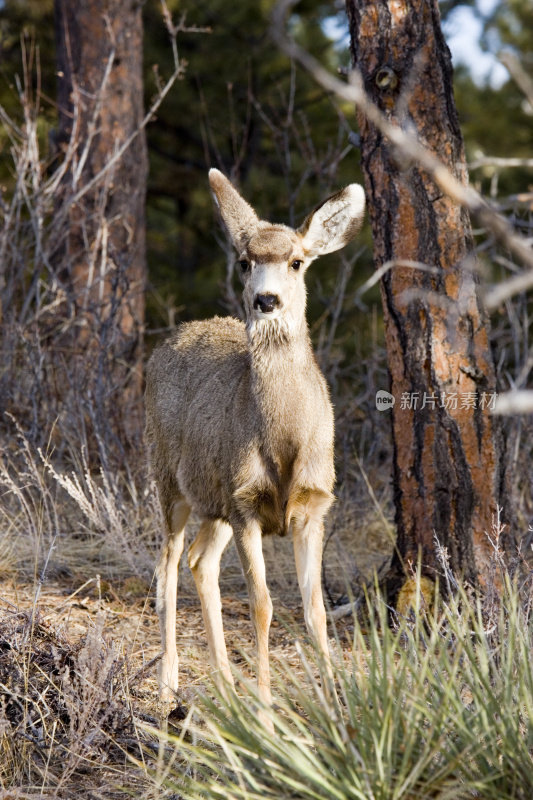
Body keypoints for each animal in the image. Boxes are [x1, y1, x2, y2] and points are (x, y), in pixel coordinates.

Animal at [143, 167, 364, 712]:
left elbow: (315, 609)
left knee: (200, 563)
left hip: (215, 501)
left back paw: (224, 683)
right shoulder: (246, 507)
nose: (267, 300)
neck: (285, 443)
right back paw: (169, 683)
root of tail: (172, 337)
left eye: (297, 261)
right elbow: (263, 606)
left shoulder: (313, 507)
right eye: (244, 262)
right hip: (168, 478)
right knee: (169, 564)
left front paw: (335, 703)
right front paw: (265, 712)